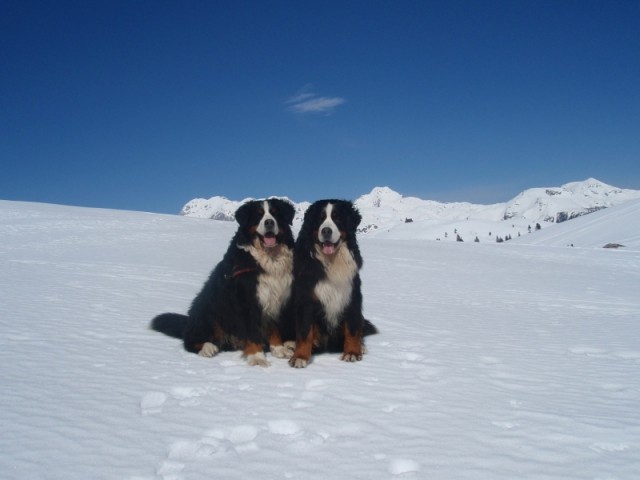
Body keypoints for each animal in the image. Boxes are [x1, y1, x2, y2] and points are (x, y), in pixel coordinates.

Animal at [151, 199, 296, 368]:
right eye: (258, 215)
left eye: (275, 213)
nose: (269, 222)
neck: (269, 256)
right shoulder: (247, 302)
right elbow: (252, 332)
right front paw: (257, 357)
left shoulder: (276, 298)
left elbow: (274, 329)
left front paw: (279, 349)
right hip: (208, 312)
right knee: (190, 340)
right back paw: (207, 347)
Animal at [288, 199, 376, 368]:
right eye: (320, 219)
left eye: (338, 218)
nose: (326, 231)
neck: (332, 261)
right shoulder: (306, 299)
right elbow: (304, 332)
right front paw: (300, 356)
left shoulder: (351, 296)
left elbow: (352, 329)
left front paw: (352, 352)